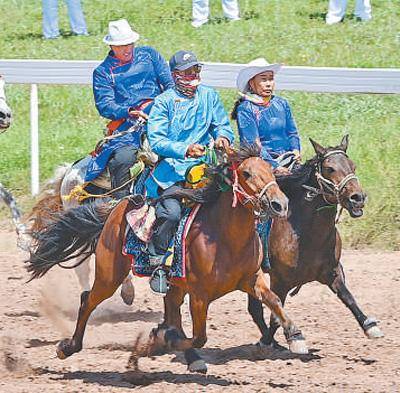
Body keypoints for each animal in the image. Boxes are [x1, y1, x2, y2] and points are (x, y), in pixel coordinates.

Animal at [27, 145, 310, 372]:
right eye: (246, 173)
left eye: (271, 171)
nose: (280, 204)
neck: (224, 238)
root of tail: (117, 206)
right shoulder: (199, 296)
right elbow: (200, 336)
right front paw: (164, 339)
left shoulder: (252, 280)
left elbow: (274, 300)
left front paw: (296, 337)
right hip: (110, 274)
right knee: (88, 300)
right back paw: (68, 347)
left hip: (172, 286)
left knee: (170, 312)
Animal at [247, 134, 384, 346]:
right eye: (330, 168)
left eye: (353, 166)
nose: (357, 198)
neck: (306, 237)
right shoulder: (280, 280)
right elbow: (276, 313)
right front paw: (287, 338)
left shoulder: (332, 272)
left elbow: (348, 297)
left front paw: (370, 325)